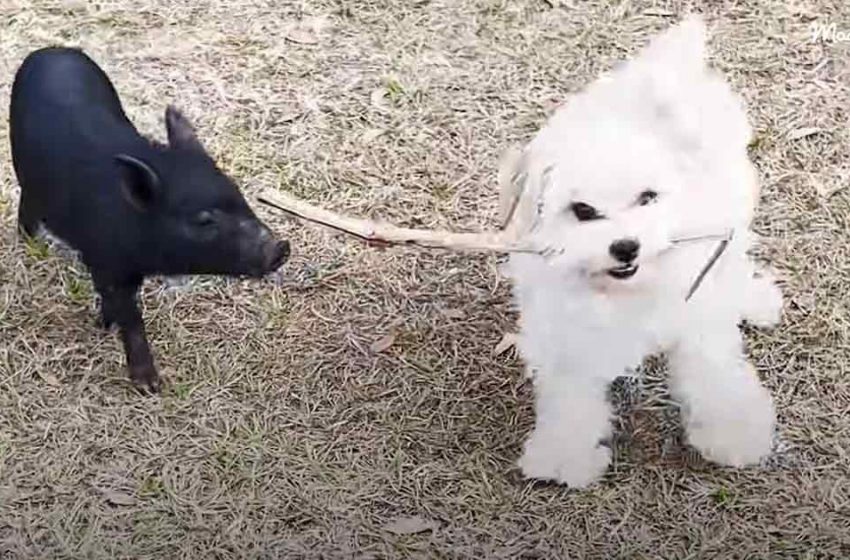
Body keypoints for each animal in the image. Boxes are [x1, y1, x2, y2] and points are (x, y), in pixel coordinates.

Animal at [504, 16, 780, 490]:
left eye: (647, 197)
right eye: (582, 210)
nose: (625, 246)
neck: (628, 290)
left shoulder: (697, 313)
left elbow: (714, 371)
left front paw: (733, 430)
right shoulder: (565, 327)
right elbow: (568, 393)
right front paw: (565, 452)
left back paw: (752, 298)